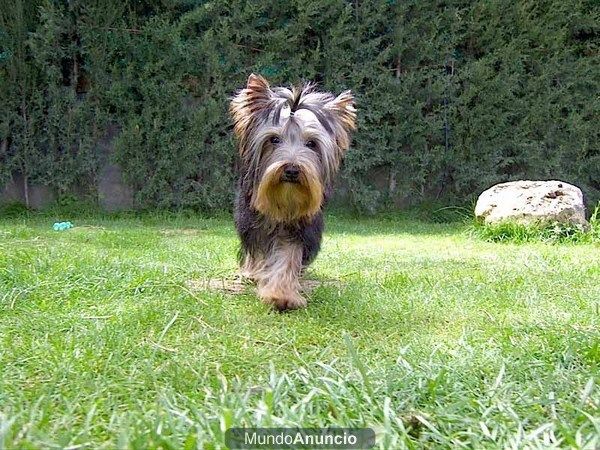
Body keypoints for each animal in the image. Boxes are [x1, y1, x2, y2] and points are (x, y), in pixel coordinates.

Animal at [230, 74, 356, 312]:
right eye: (273, 139)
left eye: (312, 143)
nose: (291, 169)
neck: (285, 200)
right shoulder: (253, 222)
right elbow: (260, 250)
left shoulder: (301, 227)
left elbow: (288, 256)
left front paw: (282, 294)